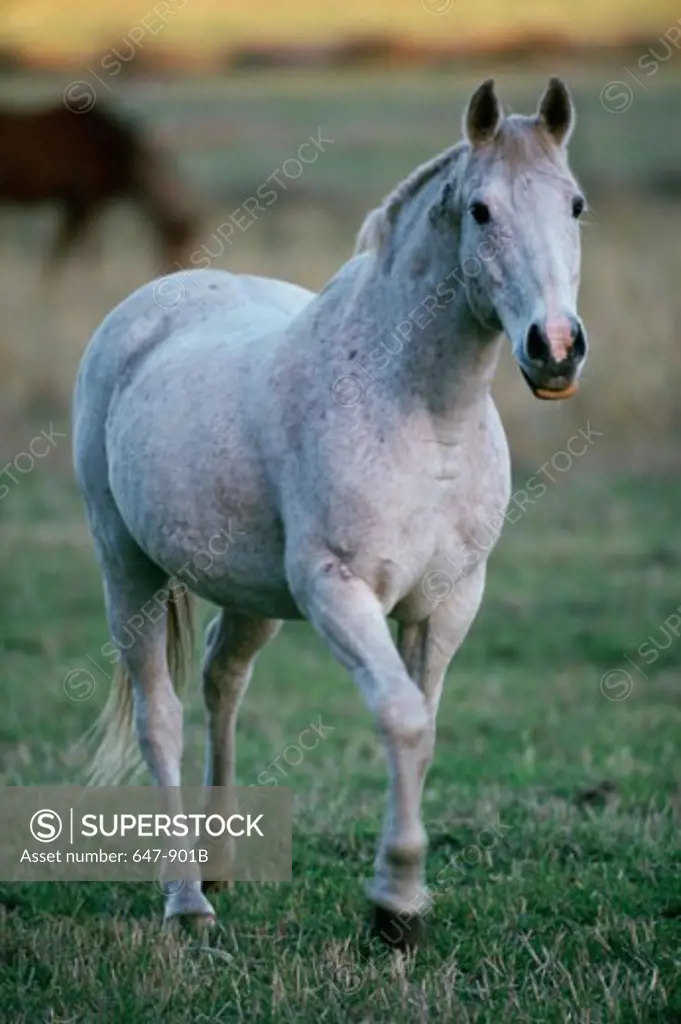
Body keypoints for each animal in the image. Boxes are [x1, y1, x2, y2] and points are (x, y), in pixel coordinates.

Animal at [71, 75, 585, 946]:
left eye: (575, 205)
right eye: (481, 210)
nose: (554, 347)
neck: (421, 413)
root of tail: (149, 303)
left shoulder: (448, 603)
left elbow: (423, 727)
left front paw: (401, 902)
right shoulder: (338, 592)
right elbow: (402, 719)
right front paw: (394, 905)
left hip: (248, 594)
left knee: (222, 681)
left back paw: (217, 862)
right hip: (125, 568)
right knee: (160, 716)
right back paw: (187, 899)